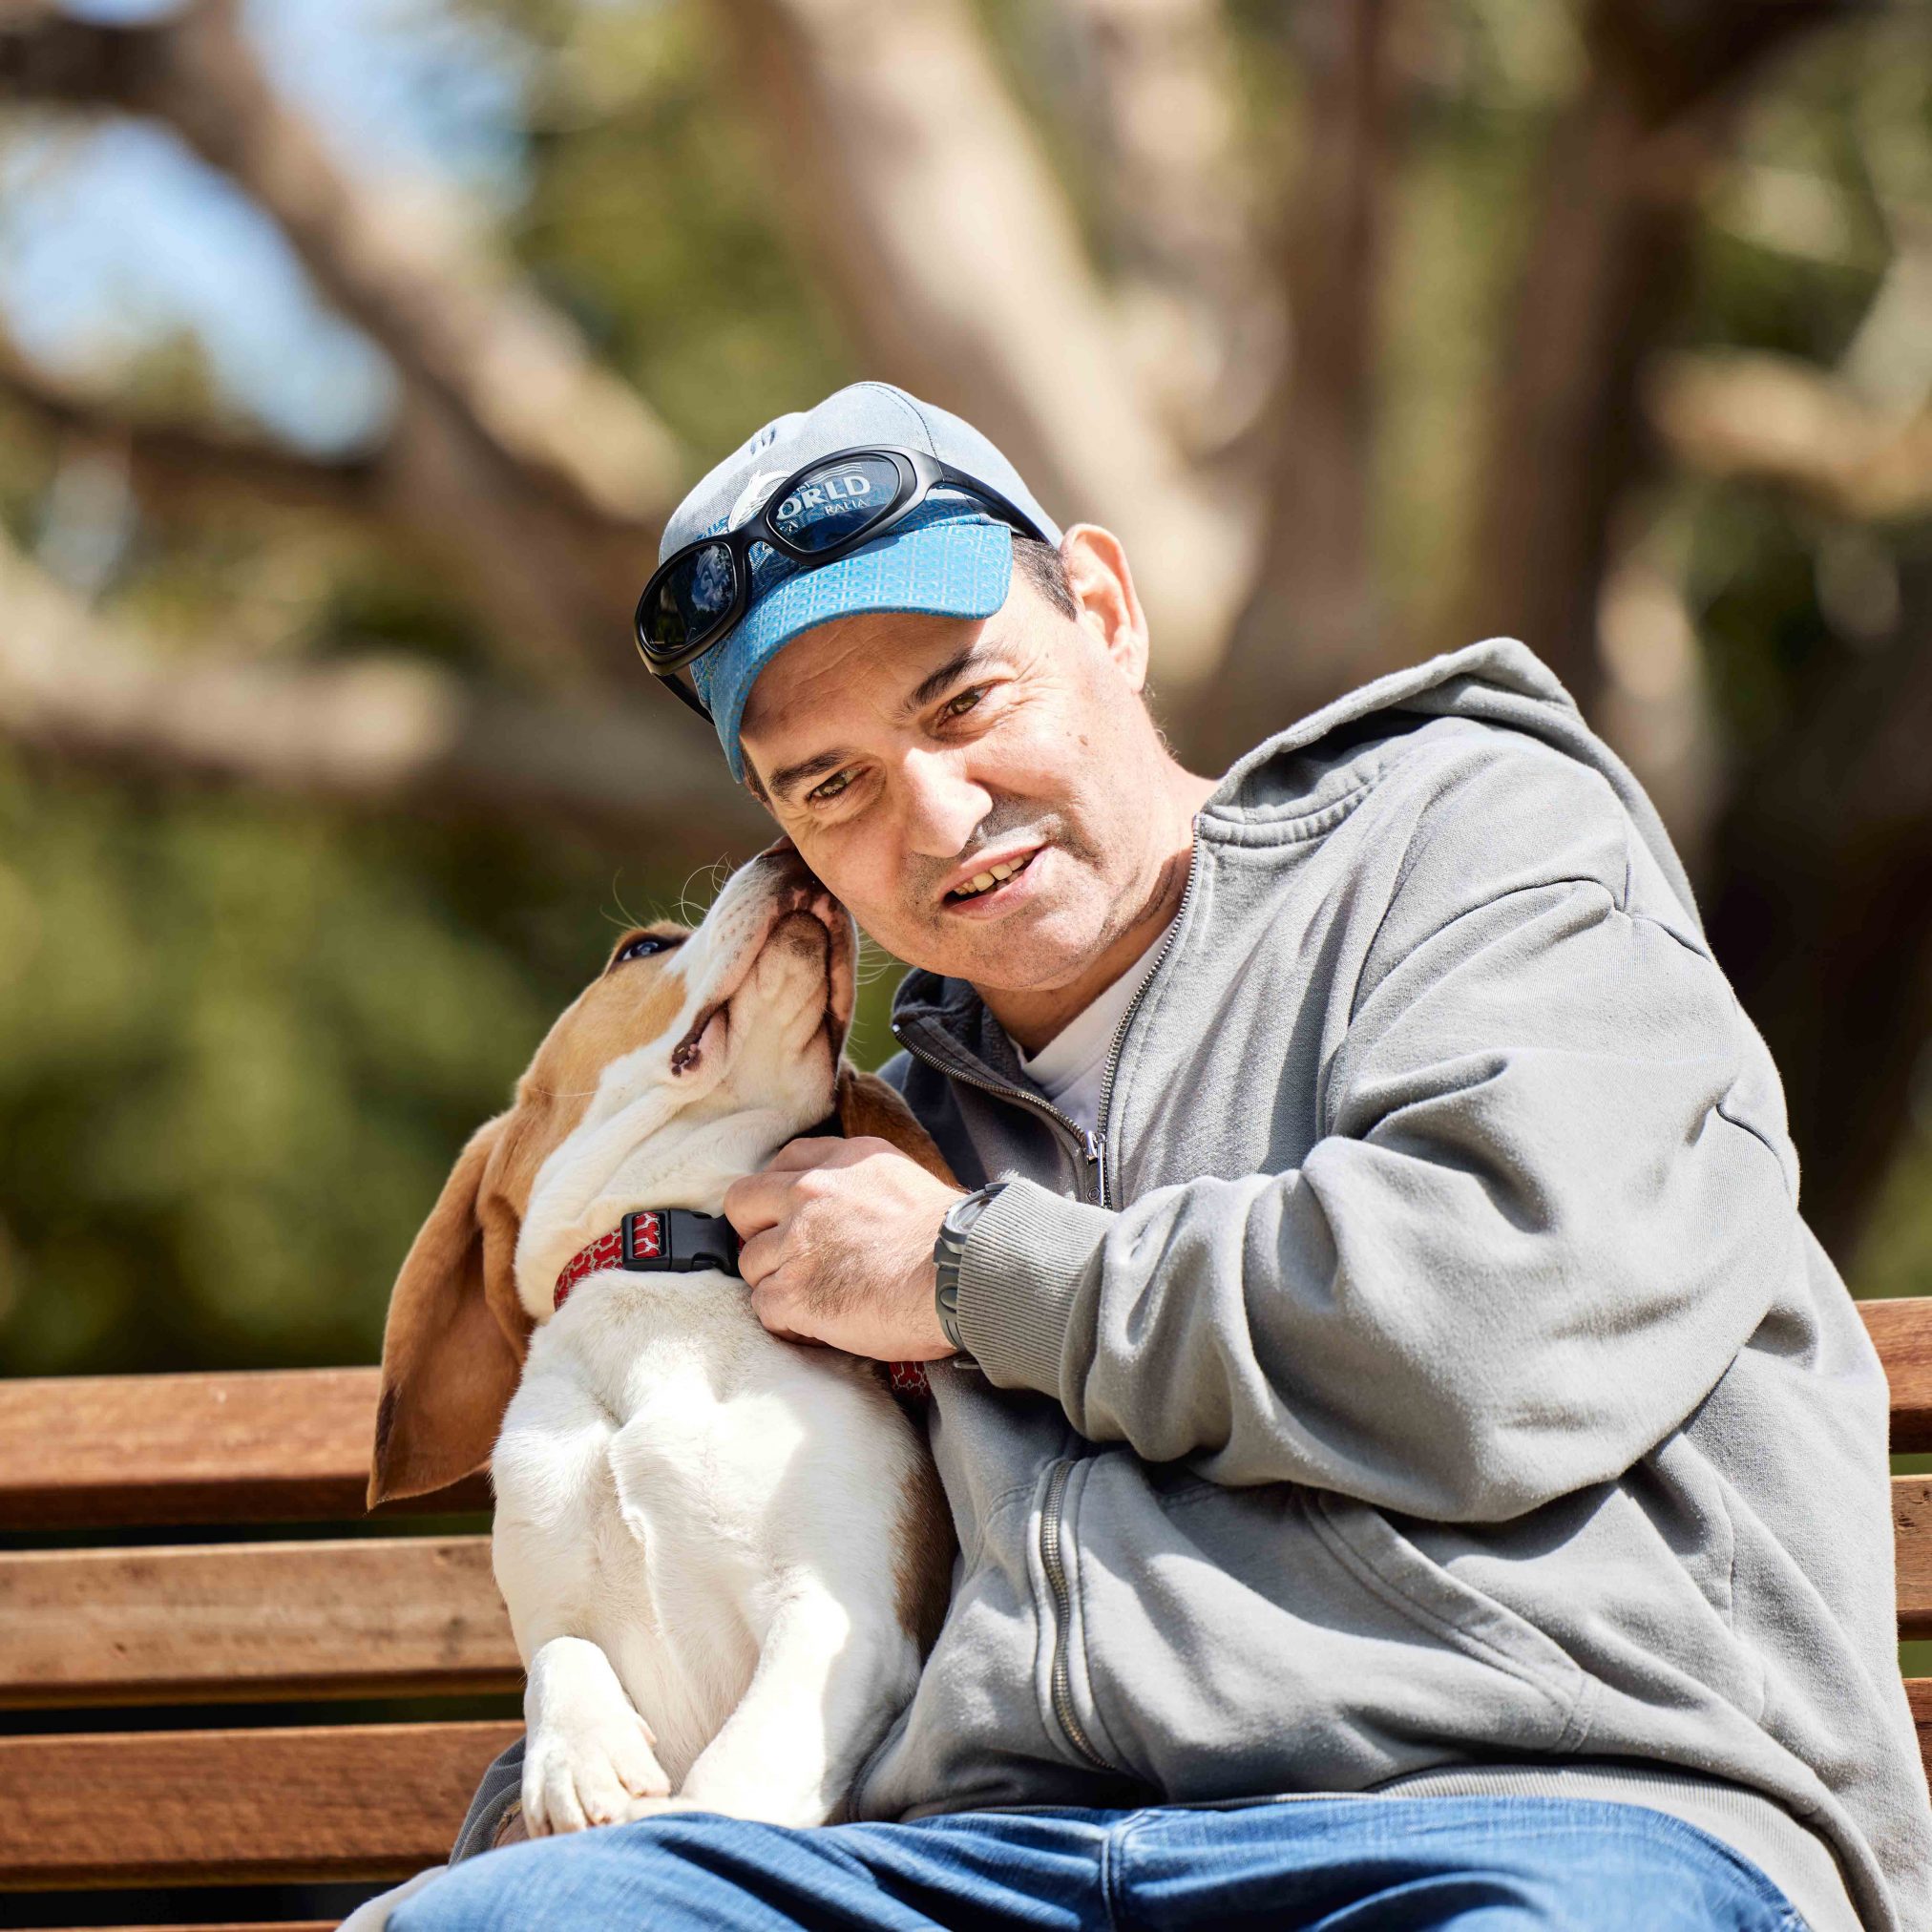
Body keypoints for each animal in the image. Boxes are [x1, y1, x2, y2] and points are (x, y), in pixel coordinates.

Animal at [367, 853, 950, 1846]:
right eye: (641, 950)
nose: (795, 857)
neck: (663, 1278)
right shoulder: (550, 1603)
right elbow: (559, 1655)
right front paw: (582, 1759)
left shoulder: (842, 1617)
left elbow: (728, 1780)